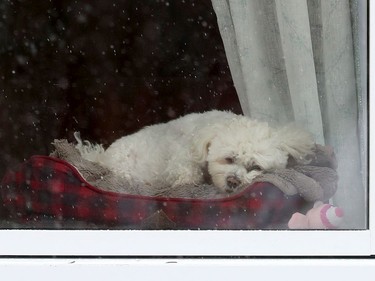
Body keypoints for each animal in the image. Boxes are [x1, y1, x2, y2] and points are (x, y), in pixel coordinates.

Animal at [75, 109, 314, 192]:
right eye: (228, 159)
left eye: (254, 166)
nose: (233, 182)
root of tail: (102, 156)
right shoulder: (181, 158)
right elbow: (188, 172)